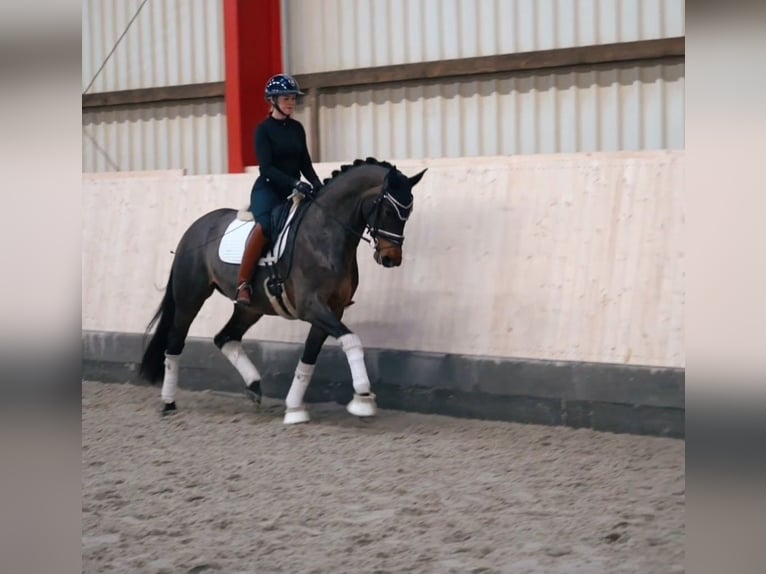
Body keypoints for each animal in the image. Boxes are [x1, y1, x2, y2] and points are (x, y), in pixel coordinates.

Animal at [137, 156, 426, 424]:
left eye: (408, 212)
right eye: (387, 210)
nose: (391, 258)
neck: (325, 234)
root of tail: (194, 229)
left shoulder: (332, 311)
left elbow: (309, 357)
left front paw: (295, 409)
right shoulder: (312, 306)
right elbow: (352, 341)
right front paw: (363, 399)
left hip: (250, 307)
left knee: (225, 337)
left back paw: (254, 386)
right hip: (190, 299)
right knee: (175, 342)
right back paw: (168, 403)